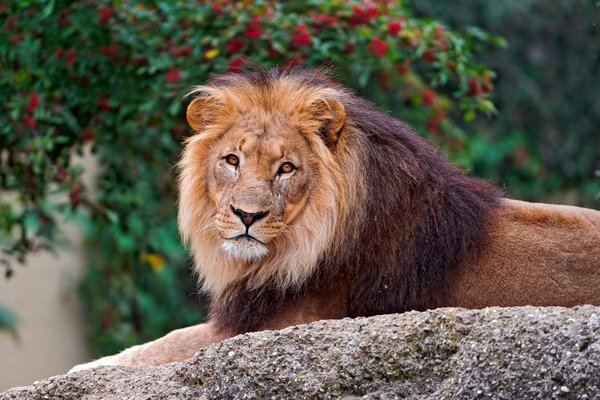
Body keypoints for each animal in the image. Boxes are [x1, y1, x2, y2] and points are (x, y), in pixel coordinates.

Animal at [70, 66, 600, 372]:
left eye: (286, 168)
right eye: (232, 161)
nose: (246, 215)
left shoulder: (274, 327)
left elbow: (167, 344)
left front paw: (88, 369)